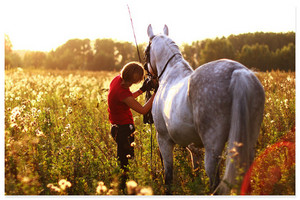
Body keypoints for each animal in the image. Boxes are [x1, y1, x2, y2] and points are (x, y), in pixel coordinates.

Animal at [145, 24, 264, 195]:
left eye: (146, 52)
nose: (149, 79)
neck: (170, 74)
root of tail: (238, 72)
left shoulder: (163, 139)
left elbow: (168, 176)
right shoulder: (194, 146)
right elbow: (195, 170)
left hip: (213, 149)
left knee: (215, 183)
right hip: (249, 142)